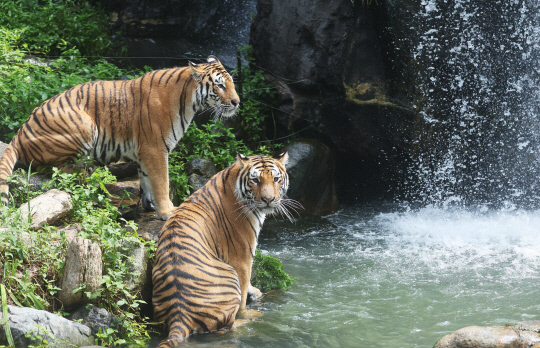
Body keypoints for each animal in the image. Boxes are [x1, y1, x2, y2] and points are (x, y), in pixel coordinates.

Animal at [0, 55, 238, 219]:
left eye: (232, 83)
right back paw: (87, 171)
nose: (237, 102)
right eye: (219, 85)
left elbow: (147, 180)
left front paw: (150, 205)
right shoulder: (155, 148)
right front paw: (168, 211)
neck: (188, 101)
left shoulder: (146, 152)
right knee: (50, 168)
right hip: (85, 124)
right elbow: (162, 181)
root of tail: (20, 130)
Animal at [150, 152, 298, 346]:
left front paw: (255, 291)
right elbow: (245, 288)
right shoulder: (242, 256)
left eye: (275, 179)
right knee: (228, 325)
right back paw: (255, 317)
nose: (268, 200)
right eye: (255, 180)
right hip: (229, 276)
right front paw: (249, 304)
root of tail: (179, 315)